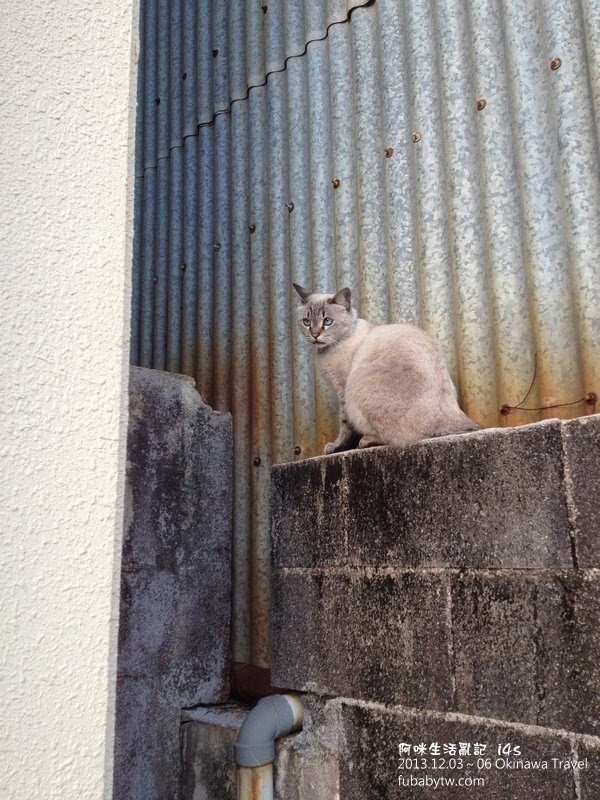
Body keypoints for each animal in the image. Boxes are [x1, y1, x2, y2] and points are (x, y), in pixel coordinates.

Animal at [293, 283, 481, 454]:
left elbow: (345, 426)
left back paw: (366, 441)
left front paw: (336, 447)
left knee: (394, 437)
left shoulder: (342, 389)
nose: (315, 335)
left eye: (327, 321)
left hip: (356, 382)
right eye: (306, 322)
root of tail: (451, 415)